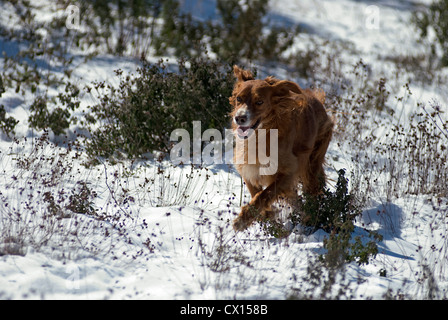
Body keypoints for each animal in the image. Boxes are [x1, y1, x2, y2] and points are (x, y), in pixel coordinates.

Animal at [231, 65, 332, 230]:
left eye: (259, 102)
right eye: (239, 98)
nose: (239, 118)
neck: (262, 133)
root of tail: (317, 101)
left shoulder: (288, 172)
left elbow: (264, 195)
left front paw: (242, 220)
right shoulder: (248, 168)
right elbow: (256, 194)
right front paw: (266, 215)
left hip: (310, 168)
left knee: (312, 195)